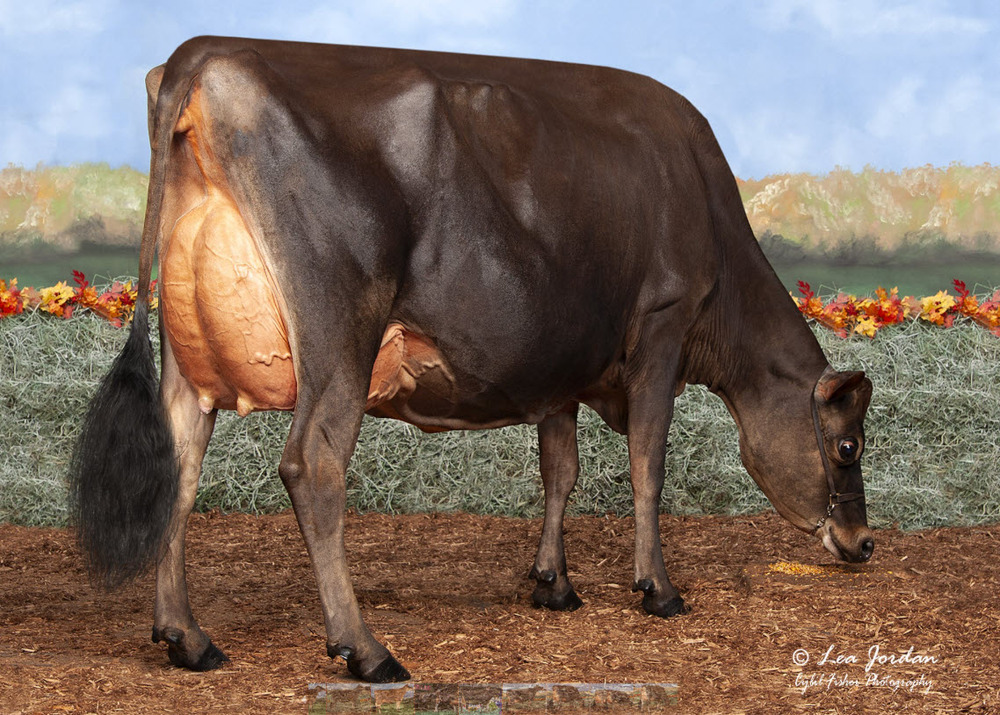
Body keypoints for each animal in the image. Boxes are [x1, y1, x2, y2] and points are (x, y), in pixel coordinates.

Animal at [70, 36, 875, 683]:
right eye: (848, 445)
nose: (864, 543)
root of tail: (206, 53)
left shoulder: (558, 366)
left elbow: (560, 469)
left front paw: (553, 583)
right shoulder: (661, 328)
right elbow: (648, 465)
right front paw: (659, 588)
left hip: (191, 359)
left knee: (176, 466)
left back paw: (187, 637)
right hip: (342, 332)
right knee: (312, 465)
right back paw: (366, 649)